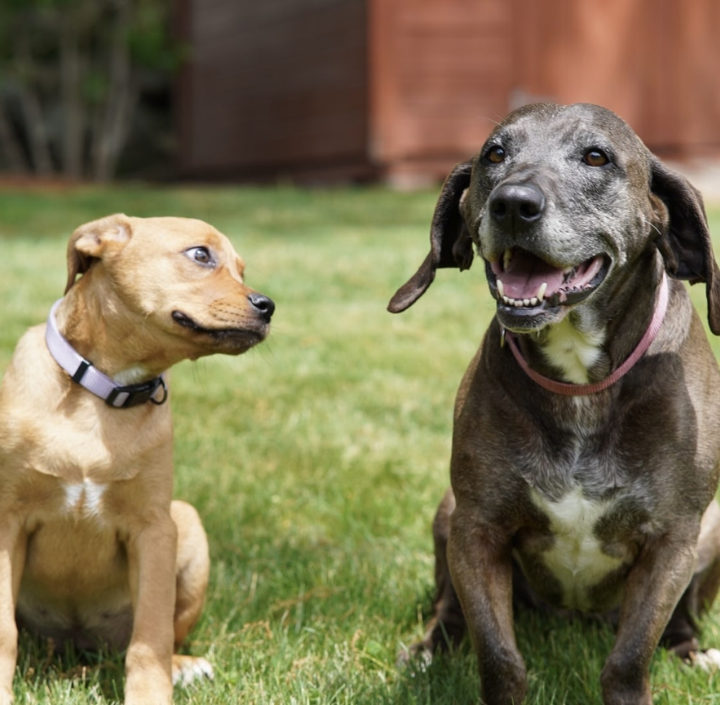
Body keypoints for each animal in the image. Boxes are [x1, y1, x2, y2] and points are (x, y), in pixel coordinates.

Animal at [0, 214, 274, 704]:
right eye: (200, 255)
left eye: (241, 269)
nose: (268, 306)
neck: (103, 393)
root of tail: (76, 648)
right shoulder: (7, 520)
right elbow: (2, 631)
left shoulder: (153, 530)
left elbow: (151, 638)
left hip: (188, 525)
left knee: (167, 633)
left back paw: (183, 664)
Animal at [390, 102, 720, 700]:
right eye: (495, 153)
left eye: (596, 157)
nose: (513, 204)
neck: (581, 383)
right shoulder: (476, 531)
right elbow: (498, 655)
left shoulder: (672, 542)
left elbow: (630, 658)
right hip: (447, 512)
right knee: (448, 609)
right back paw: (431, 651)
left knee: (677, 622)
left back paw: (690, 650)